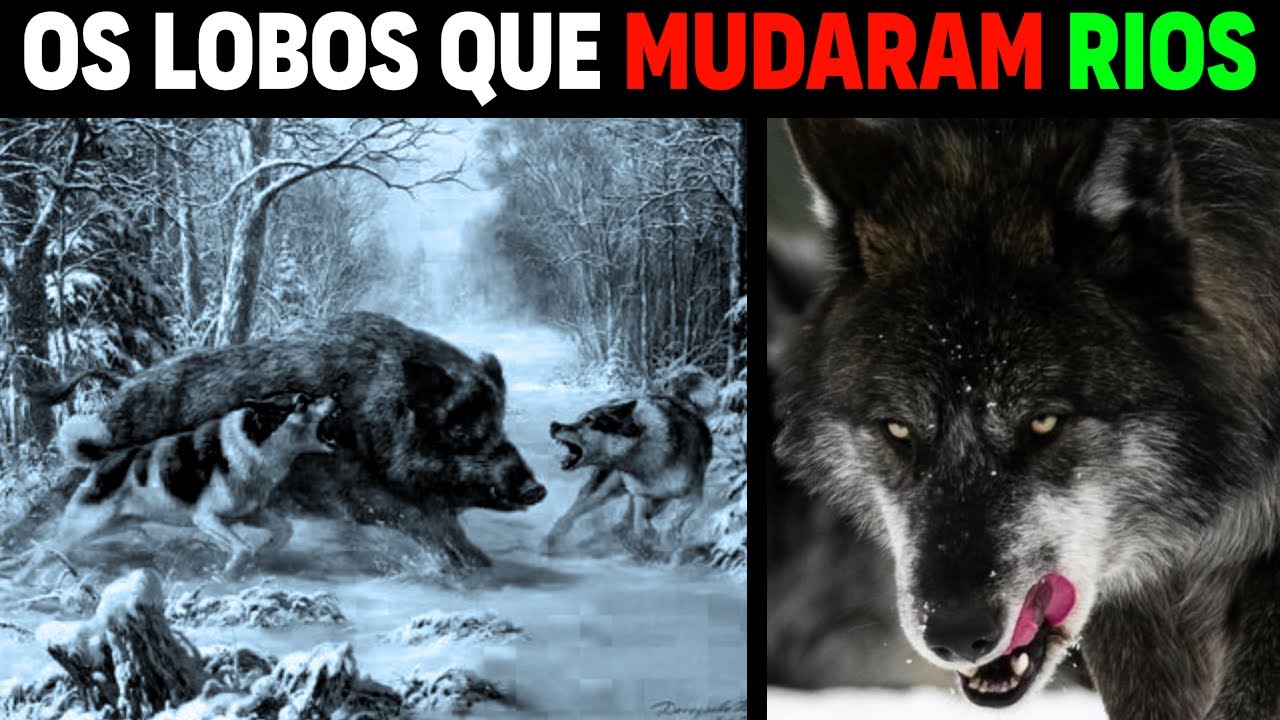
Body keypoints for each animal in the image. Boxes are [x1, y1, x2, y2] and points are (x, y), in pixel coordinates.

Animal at [21, 392, 337, 580]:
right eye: (301, 402)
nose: (334, 396)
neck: (252, 445)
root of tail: (107, 459)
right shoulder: (206, 519)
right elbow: (243, 548)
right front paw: (229, 575)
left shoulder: (251, 513)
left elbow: (284, 531)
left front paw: (266, 553)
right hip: (84, 526)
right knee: (44, 550)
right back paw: (20, 581)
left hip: (104, 527)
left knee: (47, 547)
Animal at [44, 312, 545, 573]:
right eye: (459, 428)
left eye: (500, 422)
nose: (536, 488)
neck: (373, 415)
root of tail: (125, 386)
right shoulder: (353, 490)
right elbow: (416, 520)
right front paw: (458, 569)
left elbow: (447, 524)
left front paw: (481, 564)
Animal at [542, 389, 712, 555]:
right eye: (578, 419)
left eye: (588, 420)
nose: (554, 425)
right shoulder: (641, 495)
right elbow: (639, 521)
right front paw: (644, 540)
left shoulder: (692, 496)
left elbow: (671, 523)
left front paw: (665, 543)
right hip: (603, 491)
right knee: (571, 514)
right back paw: (547, 544)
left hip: (657, 499)